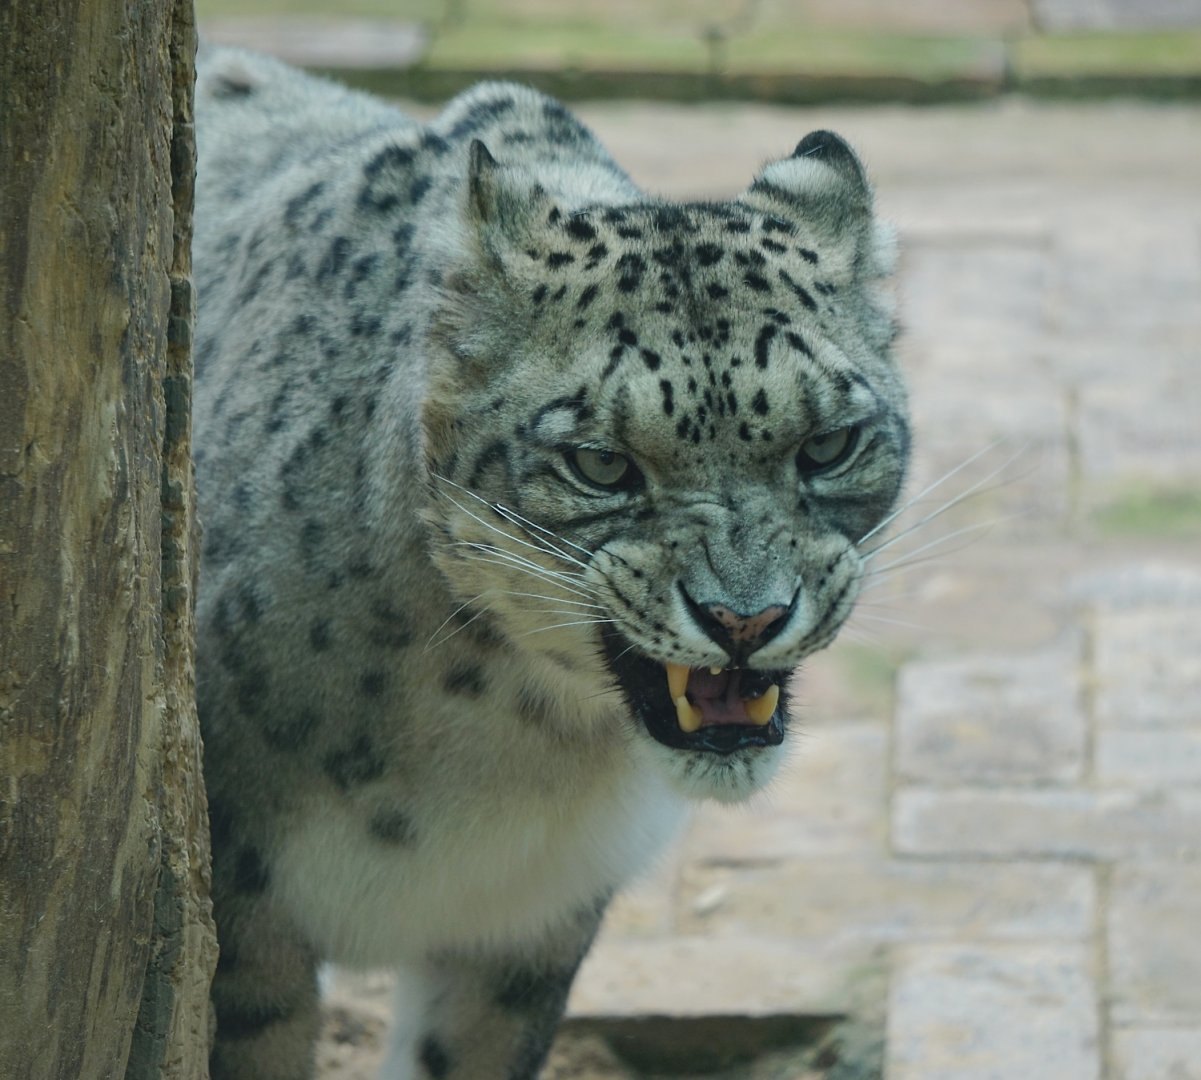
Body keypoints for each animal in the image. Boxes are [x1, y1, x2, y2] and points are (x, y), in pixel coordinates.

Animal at [192, 46, 909, 1080]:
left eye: (827, 446)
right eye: (600, 463)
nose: (746, 618)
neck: (515, 742)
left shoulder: (528, 926)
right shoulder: (248, 928)